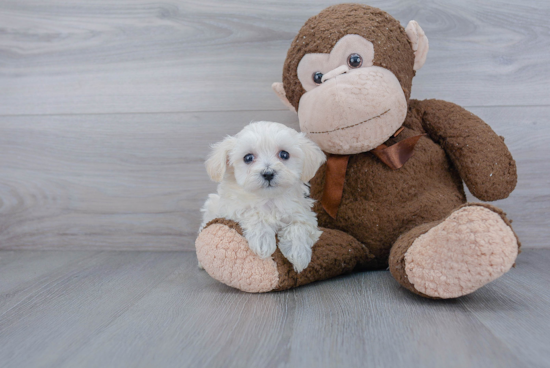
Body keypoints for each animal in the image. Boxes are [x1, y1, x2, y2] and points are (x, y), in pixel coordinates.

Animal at [201, 121, 326, 274]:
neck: (269, 199)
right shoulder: (231, 208)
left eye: (284, 154)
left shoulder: (305, 214)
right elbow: (253, 213)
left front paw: (299, 254)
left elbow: (299, 226)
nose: (268, 173)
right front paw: (263, 241)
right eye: (248, 158)